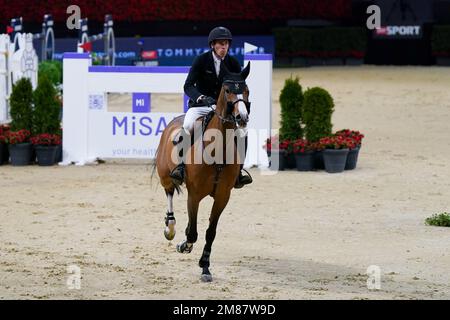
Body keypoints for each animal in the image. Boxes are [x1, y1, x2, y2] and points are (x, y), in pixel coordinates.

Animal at [156, 61, 251, 282]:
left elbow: (210, 232)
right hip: (165, 176)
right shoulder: (194, 194)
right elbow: (193, 233)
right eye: (227, 90)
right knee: (169, 193)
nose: (241, 117)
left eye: (247, 90)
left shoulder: (223, 196)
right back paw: (170, 227)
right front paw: (184, 245)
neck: (217, 151)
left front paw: (205, 266)